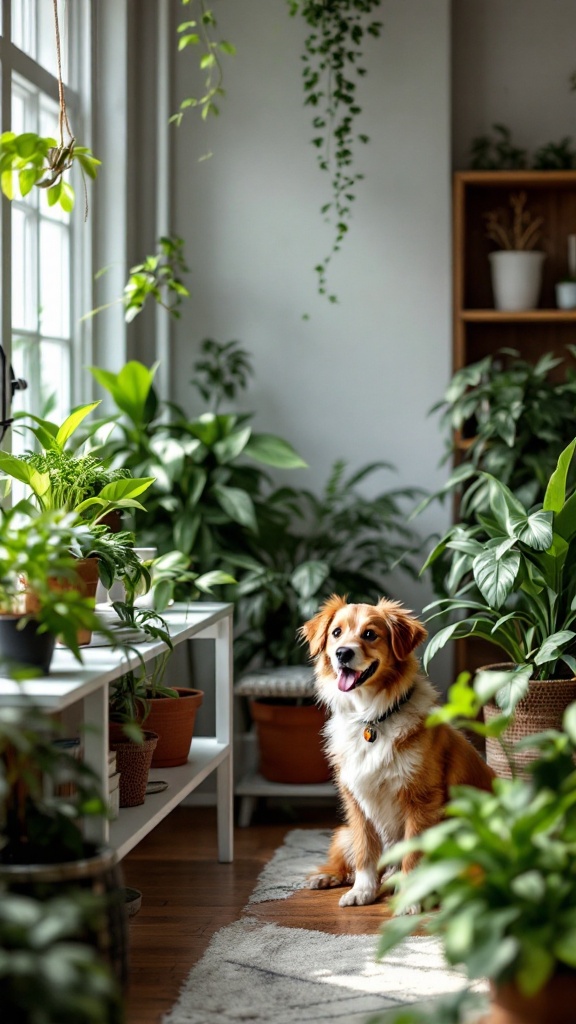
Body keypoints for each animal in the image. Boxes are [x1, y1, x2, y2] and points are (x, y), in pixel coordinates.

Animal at [301, 598, 494, 909]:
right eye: (336, 633)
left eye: (370, 634)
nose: (343, 653)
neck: (371, 718)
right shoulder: (356, 801)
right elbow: (365, 852)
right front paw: (362, 891)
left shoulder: (421, 801)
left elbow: (413, 854)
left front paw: (409, 899)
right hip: (344, 832)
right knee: (346, 860)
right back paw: (327, 876)